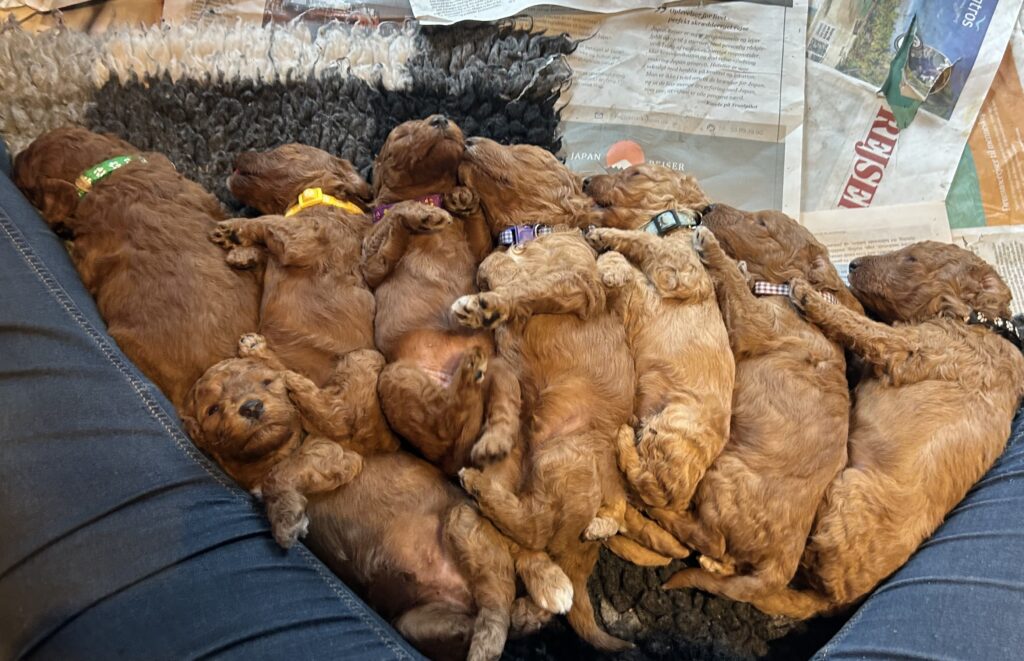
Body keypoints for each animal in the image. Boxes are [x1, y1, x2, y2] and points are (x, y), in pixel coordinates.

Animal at [208, 144, 377, 387]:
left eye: (286, 148)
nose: (237, 154)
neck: (318, 195)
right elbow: (267, 246)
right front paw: (243, 253)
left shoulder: (307, 236)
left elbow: (268, 220)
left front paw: (234, 228)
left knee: (286, 372)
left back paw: (256, 349)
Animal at [363, 117, 518, 476]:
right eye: (403, 133)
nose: (440, 118)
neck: (427, 195)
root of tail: (452, 463)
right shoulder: (369, 263)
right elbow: (394, 218)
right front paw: (417, 214)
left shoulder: (481, 251)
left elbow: (476, 231)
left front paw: (462, 198)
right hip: (393, 378)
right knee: (446, 421)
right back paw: (466, 376)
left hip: (502, 370)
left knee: (498, 415)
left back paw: (493, 442)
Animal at [583, 166, 734, 565]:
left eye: (635, 172)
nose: (584, 181)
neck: (671, 225)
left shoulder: (680, 271)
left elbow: (639, 243)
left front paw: (608, 240)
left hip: (669, 429)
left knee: (649, 486)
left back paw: (623, 439)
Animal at [657, 205, 856, 608]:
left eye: (762, 224)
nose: (705, 209)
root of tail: (782, 565)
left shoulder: (757, 324)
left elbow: (734, 285)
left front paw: (712, 248)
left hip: (723, 476)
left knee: (710, 538)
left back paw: (658, 511)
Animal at [741, 241, 1024, 618]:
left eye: (912, 259)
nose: (852, 265)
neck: (981, 322)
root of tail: (834, 598)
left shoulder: (910, 348)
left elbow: (861, 327)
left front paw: (808, 294)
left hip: (849, 490)